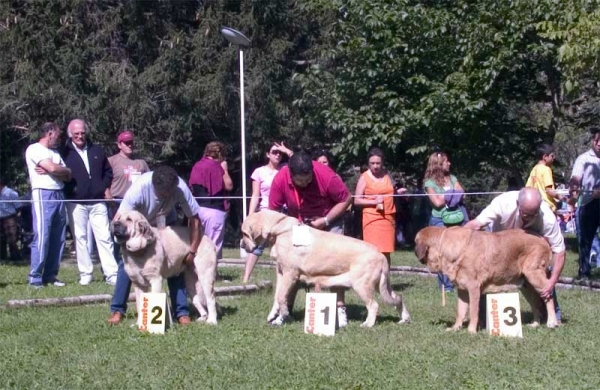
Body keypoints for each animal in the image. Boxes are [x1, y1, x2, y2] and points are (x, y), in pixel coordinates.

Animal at [241, 210, 410, 326]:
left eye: (244, 233)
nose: (242, 245)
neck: (278, 229)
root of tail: (381, 255)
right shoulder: (281, 273)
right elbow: (277, 297)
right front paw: (273, 316)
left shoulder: (290, 273)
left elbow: (282, 297)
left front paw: (285, 315)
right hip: (381, 286)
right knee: (398, 298)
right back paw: (404, 319)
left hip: (362, 285)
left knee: (374, 305)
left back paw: (368, 324)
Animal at [412, 227, 556, 334]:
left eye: (415, 242)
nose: (414, 250)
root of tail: (544, 241)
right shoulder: (462, 291)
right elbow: (460, 311)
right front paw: (455, 328)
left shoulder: (473, 288)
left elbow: (473, 311)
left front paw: (471, 331)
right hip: (526, 286)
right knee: (535, 304)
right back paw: (535, 324)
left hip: (534, 275)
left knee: (548, 297)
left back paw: (552, 322)